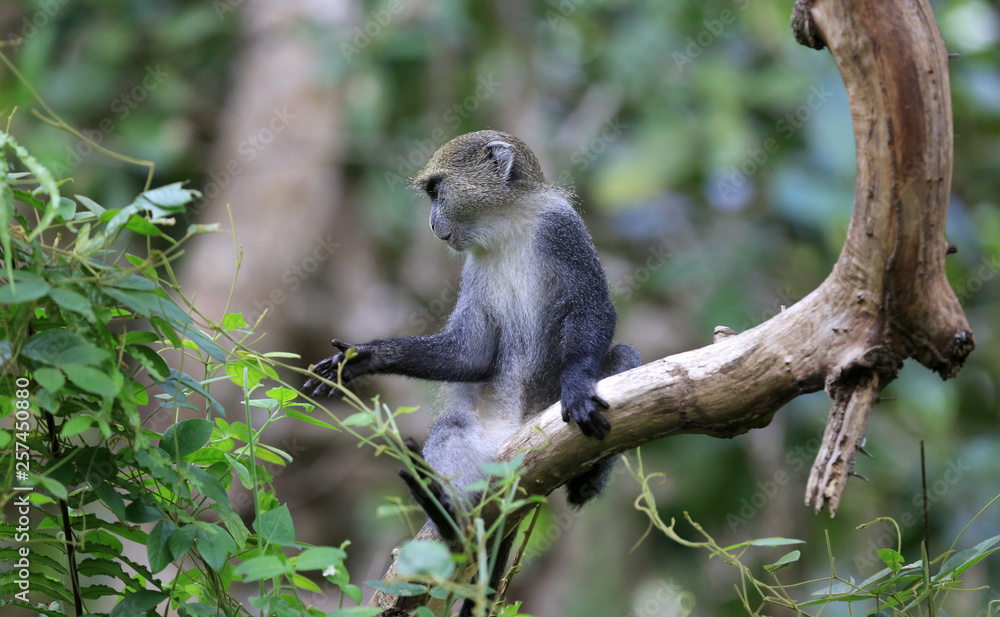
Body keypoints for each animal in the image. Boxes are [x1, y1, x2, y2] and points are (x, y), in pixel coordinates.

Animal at [300, 129, 640, 612]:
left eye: (437, 191)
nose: (430, 222)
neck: (507, 226)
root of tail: (516, 435)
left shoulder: (563, 231)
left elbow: (593, 309)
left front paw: (575, 388)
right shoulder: (474, 267)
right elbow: (471, 354)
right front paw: (366, 358)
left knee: (624, 356)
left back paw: (585, 482)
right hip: (484, 450)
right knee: (450, 433)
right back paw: (446, 516)